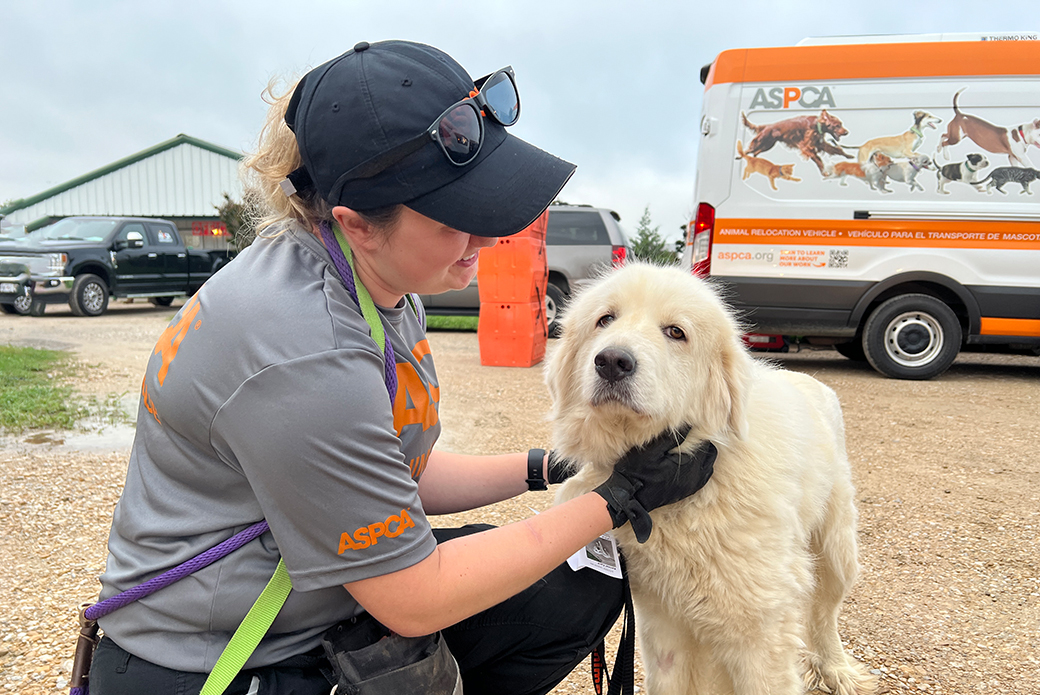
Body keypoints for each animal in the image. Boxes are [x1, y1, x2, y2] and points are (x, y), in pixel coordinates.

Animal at [549, 263, 873, 690]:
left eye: (675, 332)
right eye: (605, 320)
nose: (612, 361)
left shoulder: (761, 634)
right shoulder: (664, 627)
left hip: (836, 551)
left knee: (825, 614)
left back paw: (837, 669)